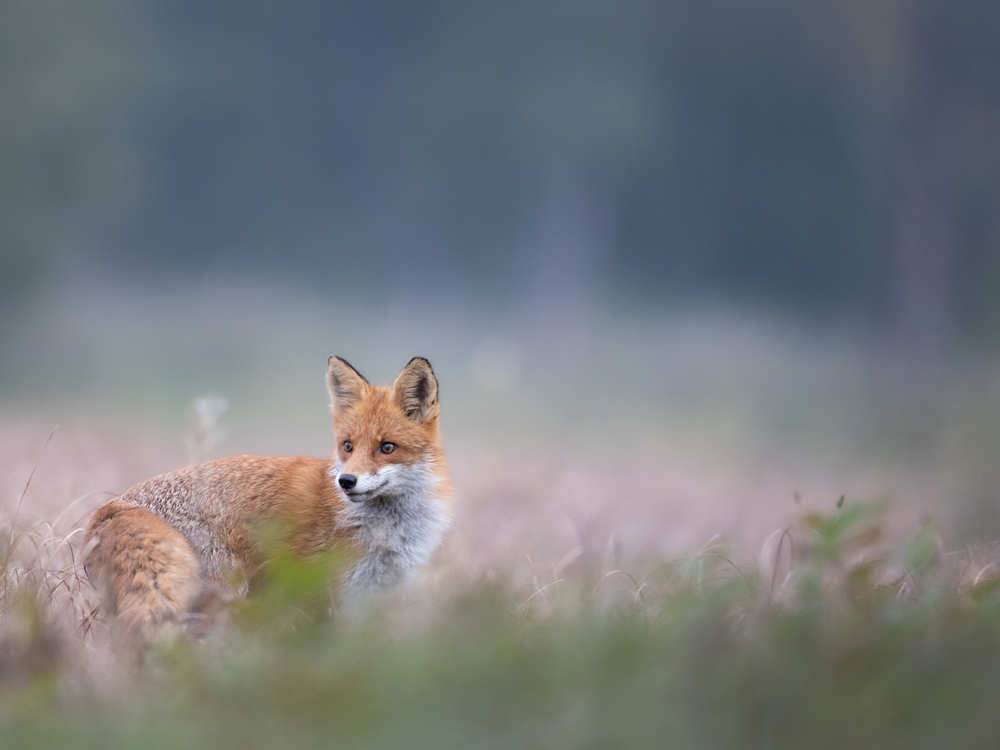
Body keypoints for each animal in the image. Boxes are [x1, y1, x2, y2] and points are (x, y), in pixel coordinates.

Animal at [82, 356, 452, 636]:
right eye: (347, 446)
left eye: (387, 448)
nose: (346, 481)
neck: (386, 531)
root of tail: (109, 508)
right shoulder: (318, 592)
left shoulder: (366, 599)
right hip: (219, 599)